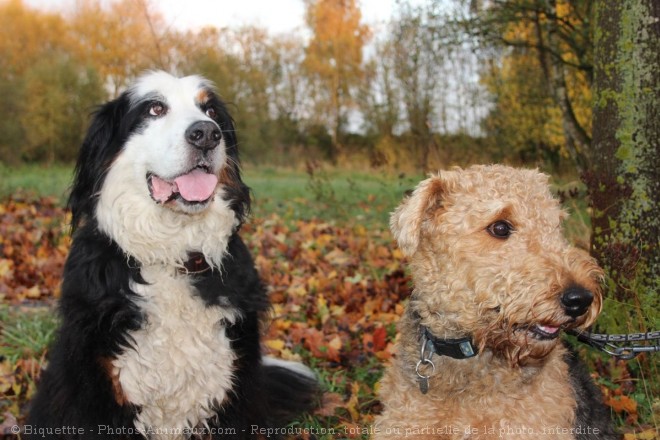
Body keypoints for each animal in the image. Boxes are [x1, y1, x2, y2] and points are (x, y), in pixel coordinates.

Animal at [29, 70, 320, 438]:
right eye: (155, 108)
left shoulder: (232, 386)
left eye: (210, 111)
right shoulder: (101, 389)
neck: (171, 255)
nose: (206, 134)